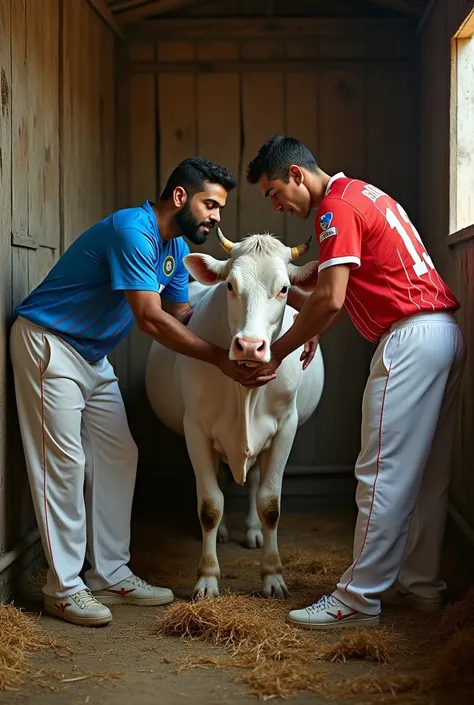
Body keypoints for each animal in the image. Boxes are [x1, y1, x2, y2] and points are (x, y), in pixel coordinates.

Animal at [146, 231, 324, 600]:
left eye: (284, 288)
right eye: (230, 285)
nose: (250, 346)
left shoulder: (286, 426)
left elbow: (270, 503)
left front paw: (273, 576)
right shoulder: (196, 427)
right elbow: (210, 505)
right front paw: (207, 577)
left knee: (254, 481)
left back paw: (253, 533)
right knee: (219, 479)